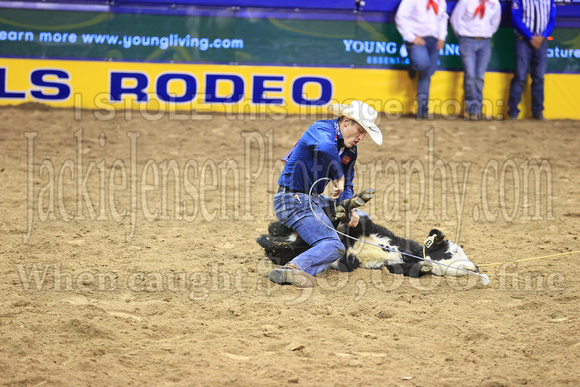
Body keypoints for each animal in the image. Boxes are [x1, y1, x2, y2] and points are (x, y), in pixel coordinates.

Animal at [256, 205, 478, 278]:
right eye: (453, 250)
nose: (475, 267)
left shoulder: (396, 267)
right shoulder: (366, 228)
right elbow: (358, 223)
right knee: (274, 229)